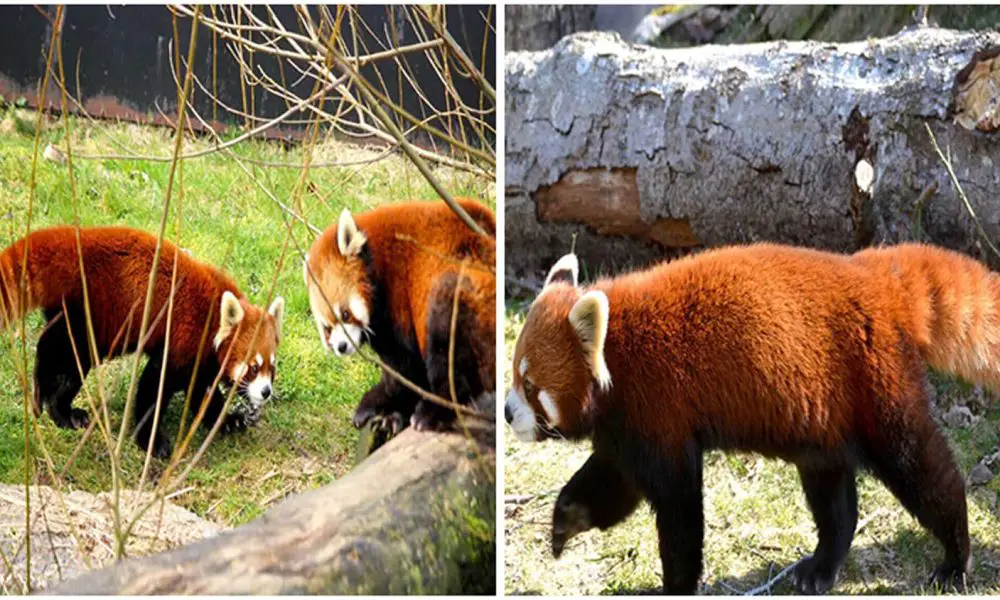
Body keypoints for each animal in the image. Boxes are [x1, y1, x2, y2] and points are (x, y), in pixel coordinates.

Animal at [0, 227, 286, 458]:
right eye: (252, 367)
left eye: (271, 368)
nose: (265, 392)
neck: (212, 319)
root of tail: (74, 239)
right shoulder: (181, 338)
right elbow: (154, 387)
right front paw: (152, 441)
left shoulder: (201, 360)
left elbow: (201, 391)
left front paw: (227, 420)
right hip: (93, 312)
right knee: (61, 352)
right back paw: (54, 404)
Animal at [302, 200, 494, 432]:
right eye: (327, 328)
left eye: (345, 314)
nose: (341, 346)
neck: (378, 258)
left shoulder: (398, 299)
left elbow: (404, 366)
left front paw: (384, 402)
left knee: (447, 348)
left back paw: (433, 411)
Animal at [504, 243, 996, 596]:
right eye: (514, 374)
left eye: (530, 386)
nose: (508, 412)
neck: (617, 353)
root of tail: (875, 274)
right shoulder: (625, 428)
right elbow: (612, 485)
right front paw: (566, 519)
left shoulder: (660, 407)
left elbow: (678, 508)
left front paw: (676, 585)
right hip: (824, 411)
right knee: (833, 493)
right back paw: (821, 567)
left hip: (877, 382)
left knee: (918, 466)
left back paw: (956, 558)